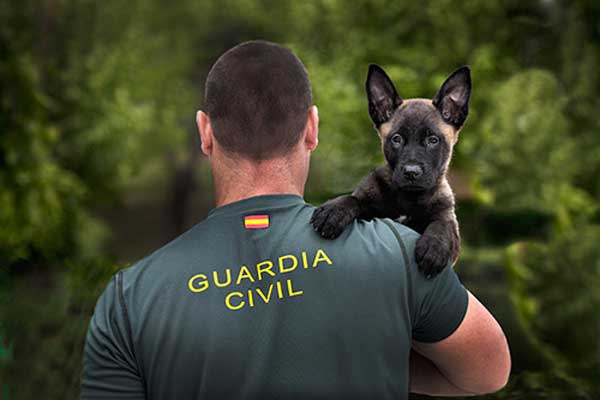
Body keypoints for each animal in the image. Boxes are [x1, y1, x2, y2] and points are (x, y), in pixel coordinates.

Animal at [312, 65, 472, 278]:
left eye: (433, 140)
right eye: (397, 139)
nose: (411, 172)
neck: (409, 198)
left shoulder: (449, 222)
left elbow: (441, 226)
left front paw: (434, 248)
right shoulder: (367, 204)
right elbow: (354, 199)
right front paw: (334, 210)